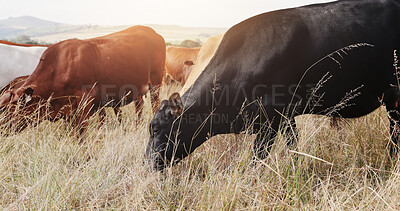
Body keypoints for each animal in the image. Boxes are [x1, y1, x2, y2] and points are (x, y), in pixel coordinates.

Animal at [0, 25, 166, 135]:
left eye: (6, 109)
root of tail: (152, 32)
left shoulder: (85, 102)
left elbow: (81, 133)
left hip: (155, 83)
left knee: (154, 105)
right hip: (138, 89)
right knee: (139, 109)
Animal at [145, 0, 400, 171]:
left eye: (156, 129)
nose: (147, 164)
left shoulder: (271, 119)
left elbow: (258, 157)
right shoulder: (286, 117)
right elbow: (292, 146)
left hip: (395, 97)